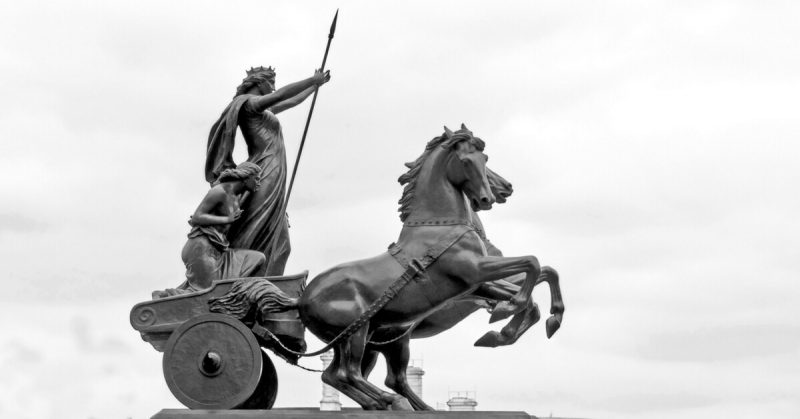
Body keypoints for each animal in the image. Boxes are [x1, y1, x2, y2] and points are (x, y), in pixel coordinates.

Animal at [296, 124, 564, 410]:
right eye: (466, 161)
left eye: (485, 158)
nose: (492, 195)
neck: (439, 225)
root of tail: (302, 299)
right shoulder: (477, 272)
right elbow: (533, 264)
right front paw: (506, 314)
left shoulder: (477, 285)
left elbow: (542, 278)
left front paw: (524, 323)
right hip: (360, 335)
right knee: (352, 374)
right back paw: (393, 402)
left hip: (365, 340)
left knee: (340, 375)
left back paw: (395, 404)